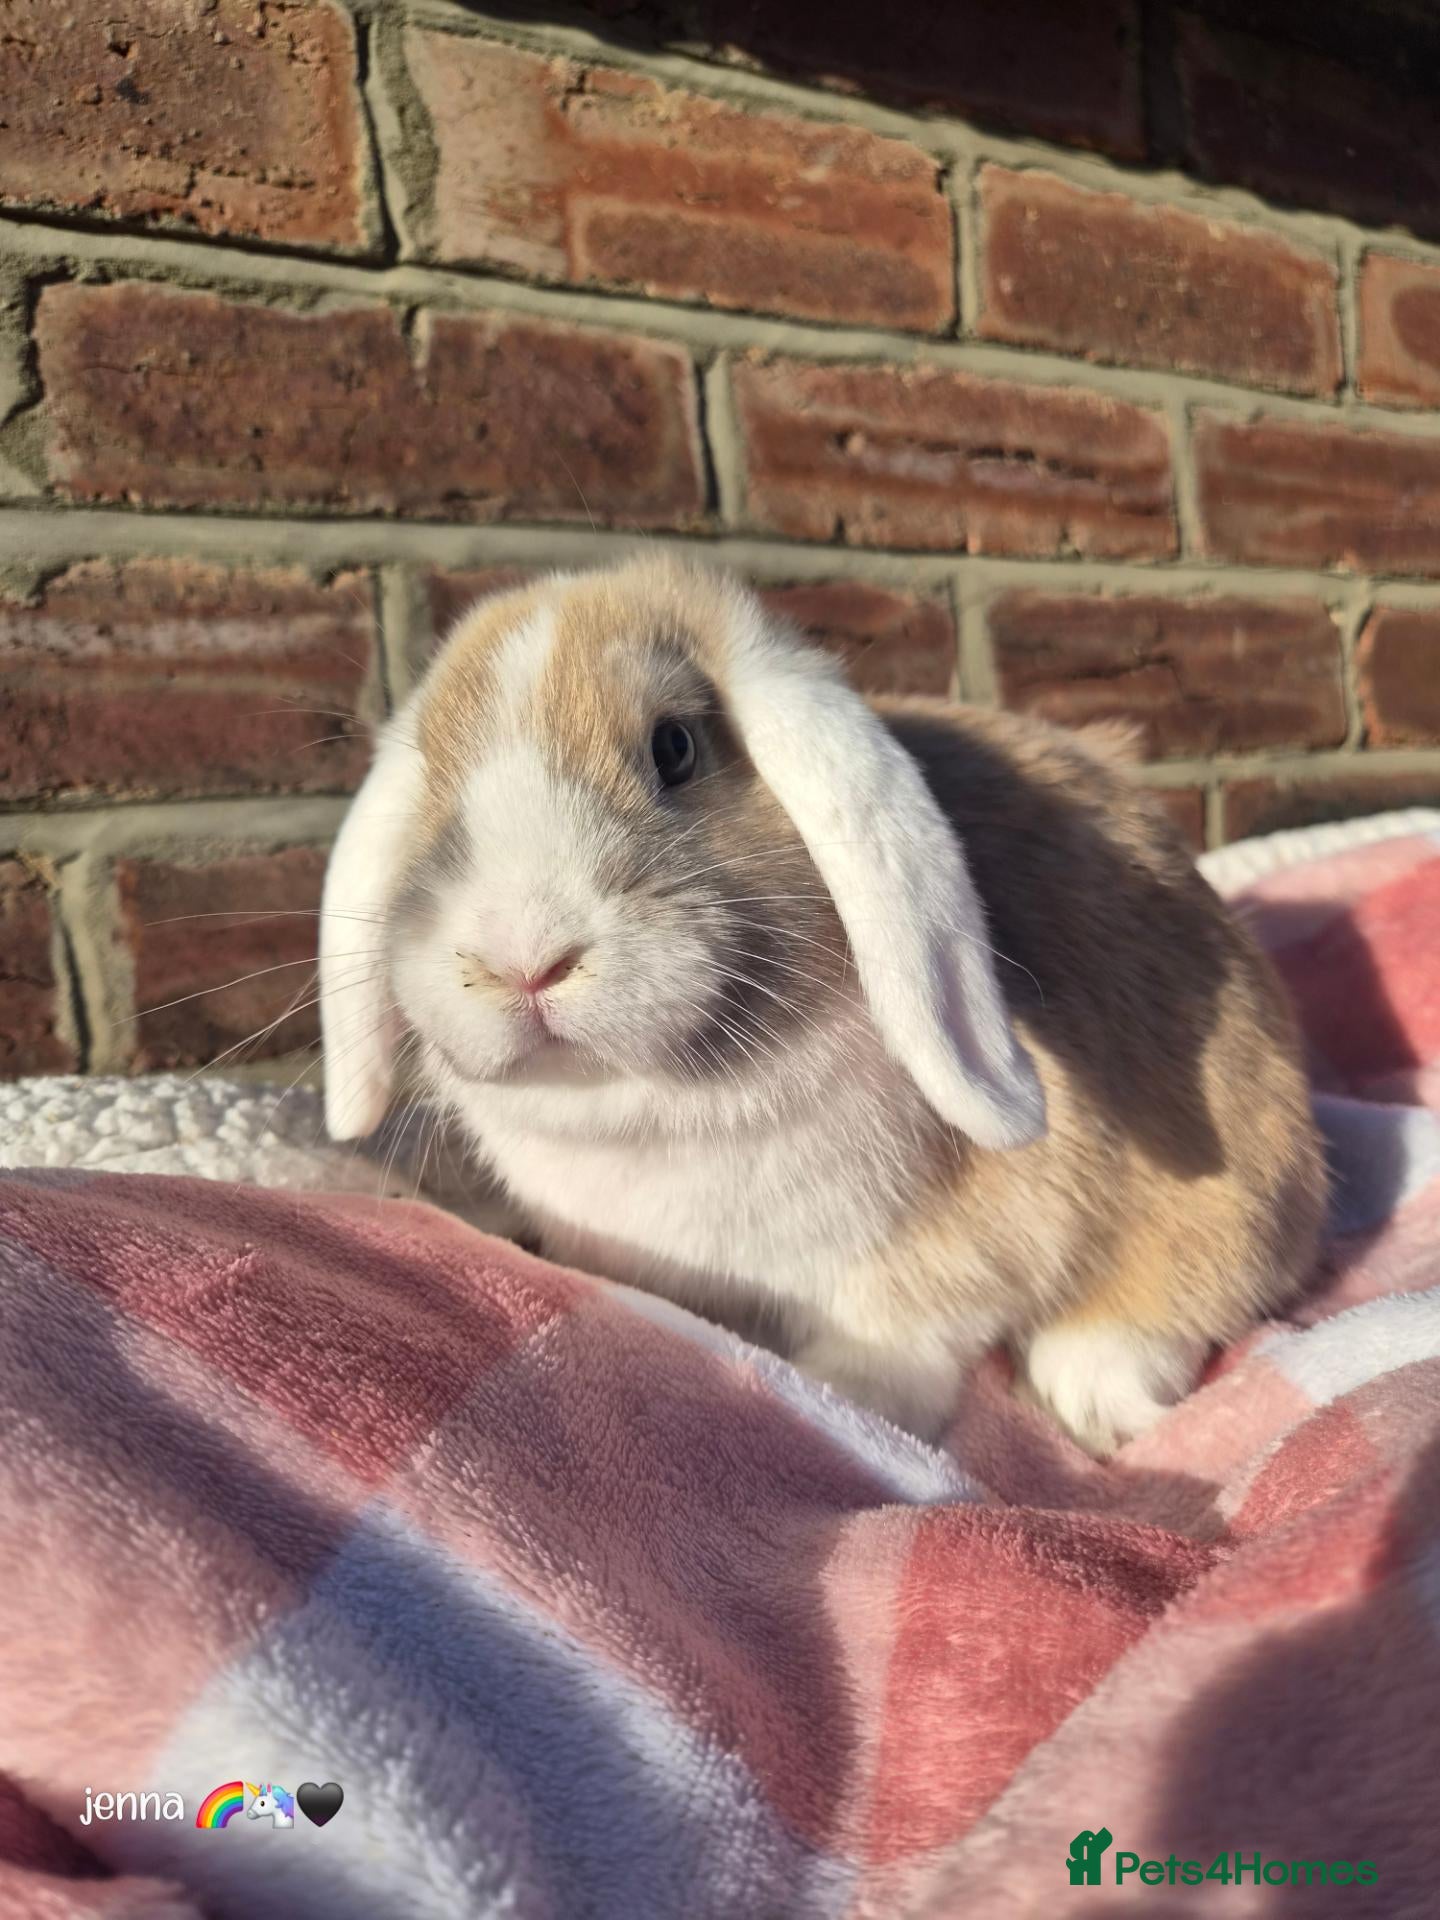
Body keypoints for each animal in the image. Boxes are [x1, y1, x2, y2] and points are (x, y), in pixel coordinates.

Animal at [320, 554, 1325, 1455]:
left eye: (676, 748)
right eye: (435, 782)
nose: (522, 958)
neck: (652, 1119)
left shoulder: (953, 1254)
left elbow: (910, 1329)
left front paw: (843, 1395)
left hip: (1247, 1166)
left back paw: (1095, 1391)